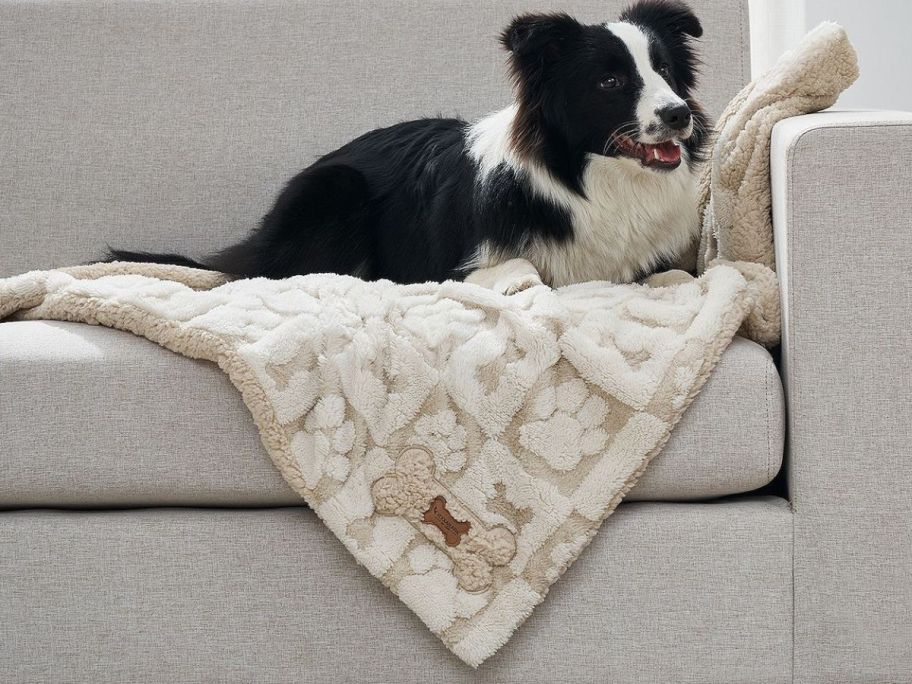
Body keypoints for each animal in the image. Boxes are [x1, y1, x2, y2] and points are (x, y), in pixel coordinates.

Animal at [110, 0, 708, 288]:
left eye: (664, 71)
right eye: (610, 82)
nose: (679, 115)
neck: (590, 176)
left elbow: (677, 274)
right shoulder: (441, 263)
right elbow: (527, 270)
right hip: (336, 190)